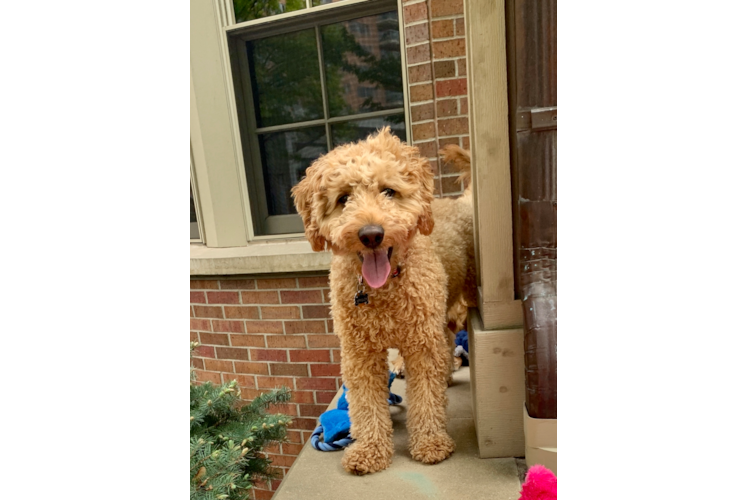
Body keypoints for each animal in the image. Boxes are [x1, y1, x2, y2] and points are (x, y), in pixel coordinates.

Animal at [290, 127, 474, 474]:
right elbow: (365, 404)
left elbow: (425, 397)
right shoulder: (359, 352)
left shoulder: (422, 344)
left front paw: (430, 442)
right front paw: (369, 450)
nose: (371, 234)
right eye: (343, 198)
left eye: (389, 191)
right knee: (445, 342)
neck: (383, 289)